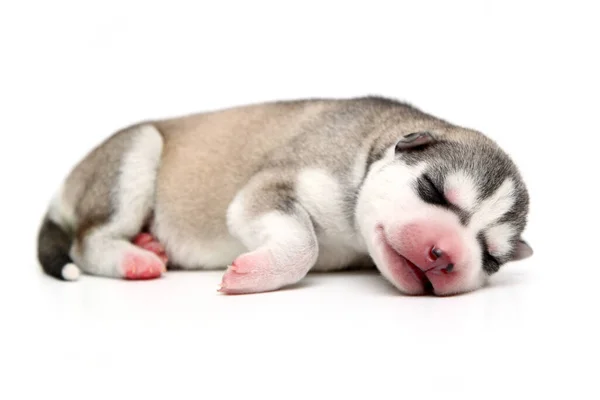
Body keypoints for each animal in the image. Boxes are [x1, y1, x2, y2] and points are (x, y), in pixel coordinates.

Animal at [37, 97, 532, 296]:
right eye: (432, 190)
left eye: (490, 256)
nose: (445, 254)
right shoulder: (271, 186)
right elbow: (304, 242)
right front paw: (254, 274)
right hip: (135, 153)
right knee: (86, 241)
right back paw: (134, 259)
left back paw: (147, 244)